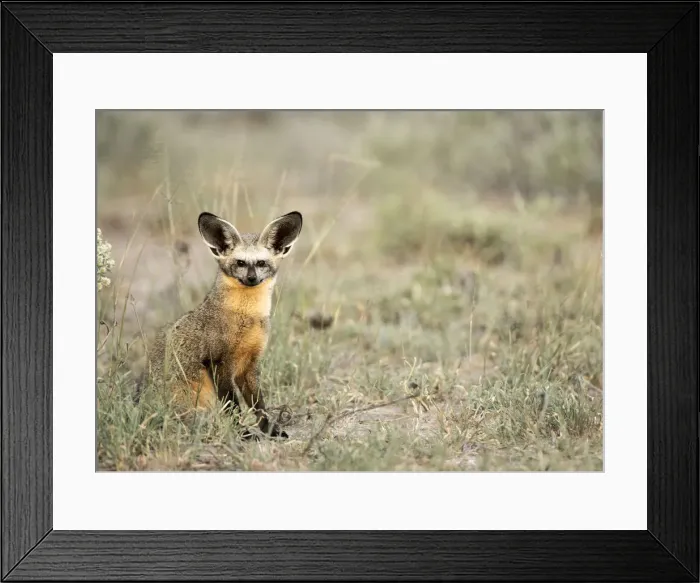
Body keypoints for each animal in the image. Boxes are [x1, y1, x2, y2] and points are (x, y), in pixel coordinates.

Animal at [144, 210, 303, 439]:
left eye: (261, 263)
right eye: (240, 263)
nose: (252, 278)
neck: (247, 318)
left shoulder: (249, 365)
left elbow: (258, 404)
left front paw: (269, 429)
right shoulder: (217, 362)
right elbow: (232, 405)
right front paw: (242, 433)